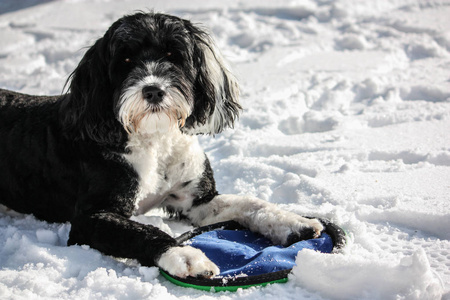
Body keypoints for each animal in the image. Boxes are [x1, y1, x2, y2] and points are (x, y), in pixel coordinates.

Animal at [0, 11, 324, 278]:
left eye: (174, 55)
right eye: (125, 61)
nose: (153, 90)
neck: (155, 140)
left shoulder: (195, 200)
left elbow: (249, 203)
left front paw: (293, 221)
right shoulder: (89, 218)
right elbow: (141, 231)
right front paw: (183, 255)